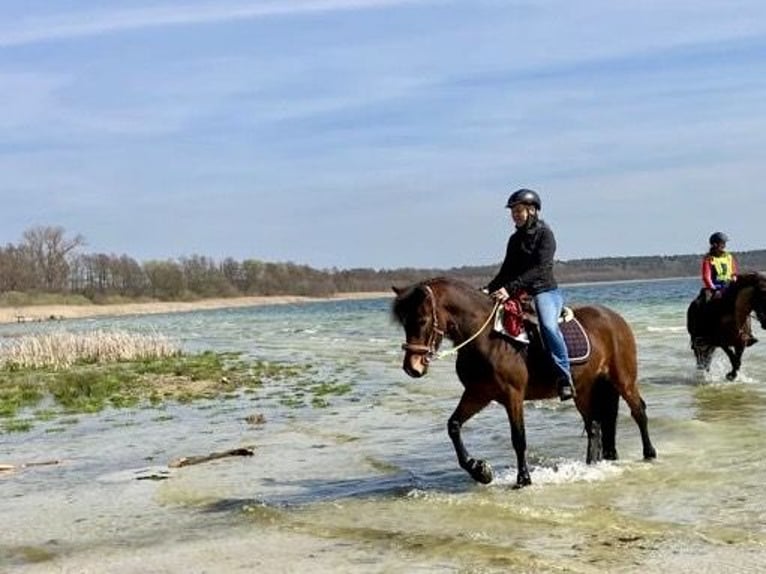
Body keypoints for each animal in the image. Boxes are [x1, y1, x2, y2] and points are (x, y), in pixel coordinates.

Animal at [392, 276, 656, 488]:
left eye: (422, 319)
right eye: (404, 322)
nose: (412, 367)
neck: (488, 337)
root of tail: (615, 318)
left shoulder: (513, 395)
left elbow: (518, 438)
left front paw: (523, 479)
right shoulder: (478, 394)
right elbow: (453, 426)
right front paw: (481, 471)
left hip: (623, 379)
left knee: (638, 411)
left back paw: (649, 454)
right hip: (583, 389)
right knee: (595, 426)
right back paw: (590, 467)